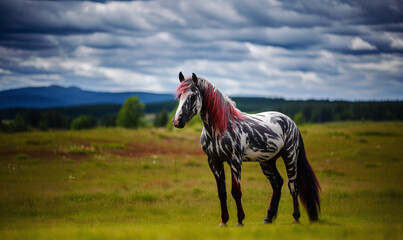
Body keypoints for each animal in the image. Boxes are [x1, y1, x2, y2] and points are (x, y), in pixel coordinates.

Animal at [174, 72, 322, 226]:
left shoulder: (235, 161)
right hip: (267, 161)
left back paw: (296, 218)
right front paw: (223, 221)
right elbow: (222, 193)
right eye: (179, 96)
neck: (218, 129)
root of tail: (290, 122)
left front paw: (240, 220)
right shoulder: (214, 162)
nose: (177, 121)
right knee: (277, 183)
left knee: (293, 185)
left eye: (192, 96)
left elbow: (236, 191)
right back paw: (268, 218)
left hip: (290, 156)